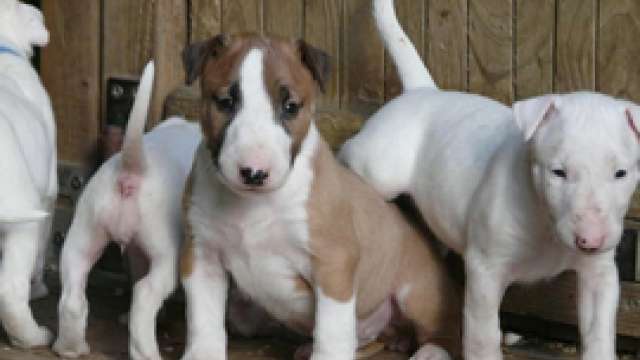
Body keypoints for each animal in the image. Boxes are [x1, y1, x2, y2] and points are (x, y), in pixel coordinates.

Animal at [52, 62, 201, 360]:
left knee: (73, 296)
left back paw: (70, 348)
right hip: (166, 253)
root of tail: (131, 171)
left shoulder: (134, 251)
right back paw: (147, 353)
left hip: (83, 236)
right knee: (145, 292)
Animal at [180, 33, 460, 360]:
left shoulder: (333, 262)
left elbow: (332, 331)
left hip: (417, 292)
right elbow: (203, 319)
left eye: (290, 107)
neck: (253, 204)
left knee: (445, 326)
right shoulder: (202, 255)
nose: (254, 173)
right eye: (225, 102)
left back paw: (433, 351)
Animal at [338, 1, 636, 358]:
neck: (546, 224)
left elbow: (598, 333)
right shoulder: (485, 270)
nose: (590, 240)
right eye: (558, 172)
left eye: (621, 173)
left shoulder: (599, 275)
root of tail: (423, 91)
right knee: (349, 152)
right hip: (379, 167)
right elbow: (483, 336)